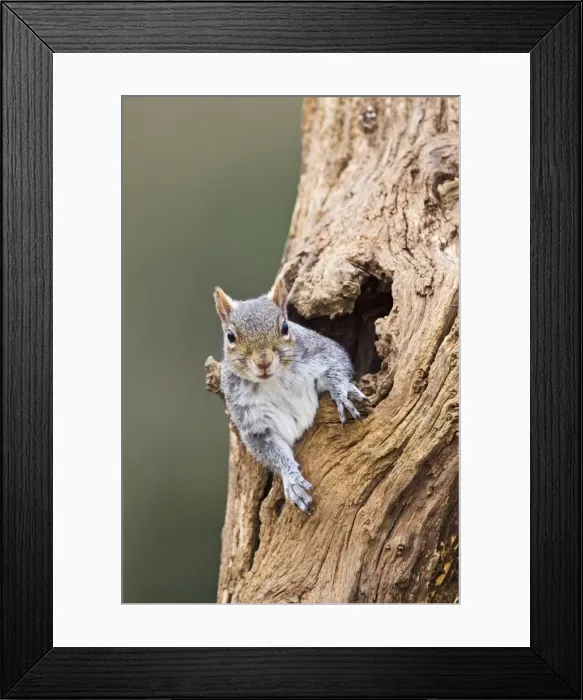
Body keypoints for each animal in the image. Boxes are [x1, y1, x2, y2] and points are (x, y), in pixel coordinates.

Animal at [213, 273, 370, 513]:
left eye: (285, 327)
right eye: (230, 336)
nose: (263, 361)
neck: (272, 381)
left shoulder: (322, 352)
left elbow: (338, 364)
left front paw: (342, 393)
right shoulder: (253, 424)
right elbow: (273, 453)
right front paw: (293, 480)